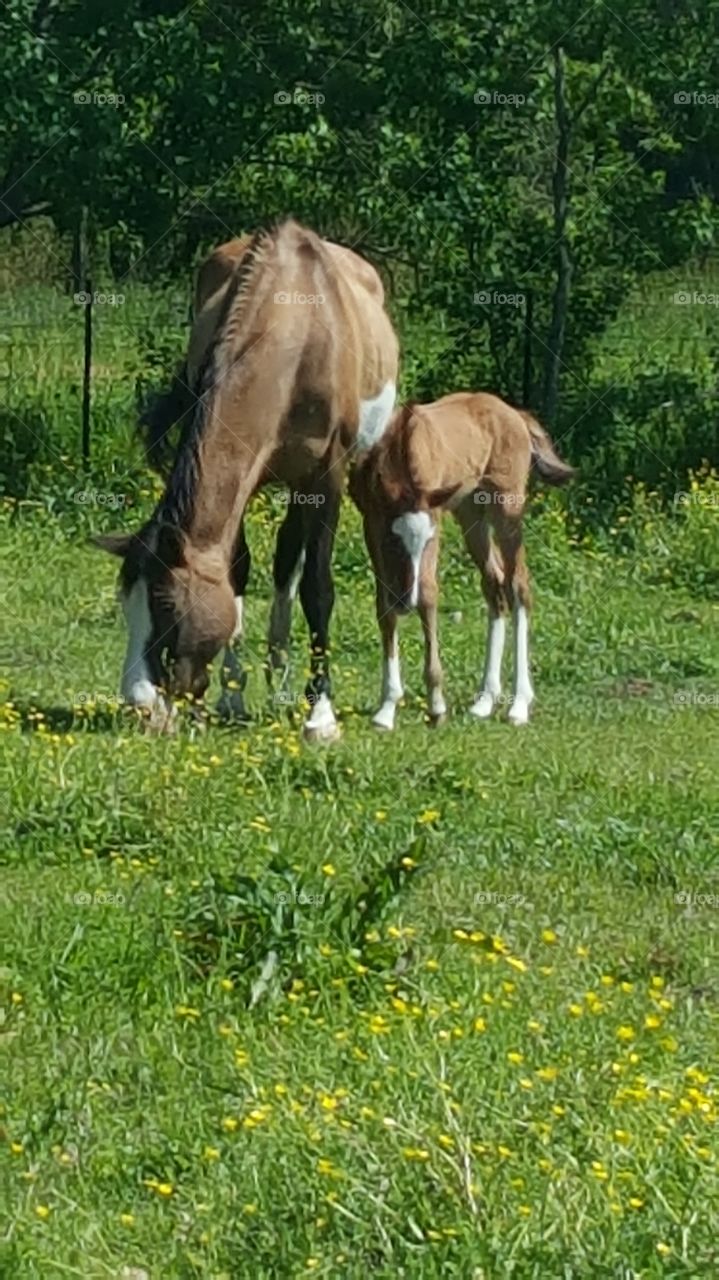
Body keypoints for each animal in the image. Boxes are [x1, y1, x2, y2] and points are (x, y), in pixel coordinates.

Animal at [95, 220, 399, 741]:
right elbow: (235, 572)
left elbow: (318, 587)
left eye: (168, 612)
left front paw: (321, 715)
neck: (299, 333)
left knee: (291, 561)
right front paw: (229, 696)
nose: (141, 705)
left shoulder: (326, 477)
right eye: (127, 606)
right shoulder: (245, 476)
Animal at [348, 392, 574, 729]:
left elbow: (429, 596)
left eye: (428, 542)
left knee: (519, 585)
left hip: (507, 505)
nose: (406, 602)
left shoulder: (435, 517)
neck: (399, 446)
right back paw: (485, 700)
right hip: (470, 511)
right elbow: (383, 606)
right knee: (495, 584)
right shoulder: (372, 522)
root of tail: (516, 415)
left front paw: (436, 704)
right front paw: (387, 707)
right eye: (392, 541)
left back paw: (519, 704)